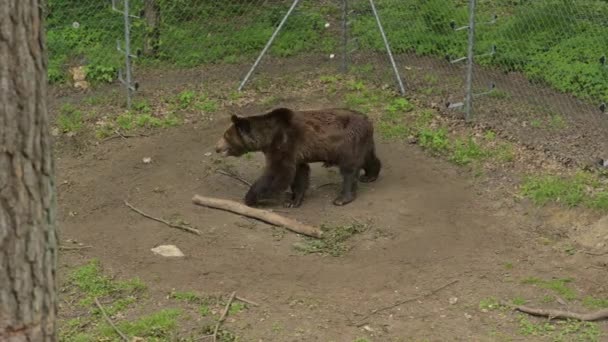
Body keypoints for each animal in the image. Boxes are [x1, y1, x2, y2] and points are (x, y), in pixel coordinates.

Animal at [215, 108, 380, 207]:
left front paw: (252, 197)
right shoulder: (296, 153)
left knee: (348, 169)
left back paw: (342, 198)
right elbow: (300, 174)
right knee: (368, 158)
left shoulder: (284, 144)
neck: (267, 138)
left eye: (226, 136)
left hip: (347, 142)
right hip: (362, 142)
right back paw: (370, 175)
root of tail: (368, 120)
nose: (217, 148)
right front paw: (294, 200)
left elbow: (277, 173)